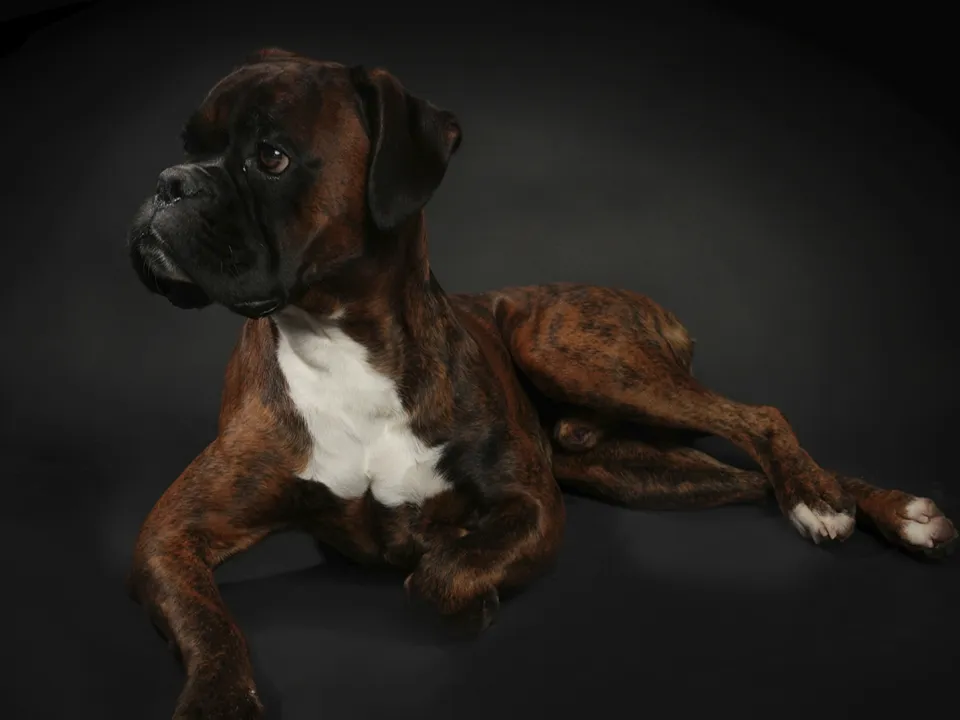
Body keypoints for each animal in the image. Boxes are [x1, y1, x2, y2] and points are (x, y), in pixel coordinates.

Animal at [126, 48, 958, 719]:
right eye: (186, 147)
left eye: (270, 156)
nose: (168, 182)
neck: (337, 338)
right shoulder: (171, 537)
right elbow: (209, 624)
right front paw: (217, 699)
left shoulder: (531, 505)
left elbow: (440, 578)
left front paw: (461, 582)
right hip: (633, 470)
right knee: (744, 476)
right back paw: (869, 506)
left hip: (573, 351)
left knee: (760, 415)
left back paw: (834, 501)